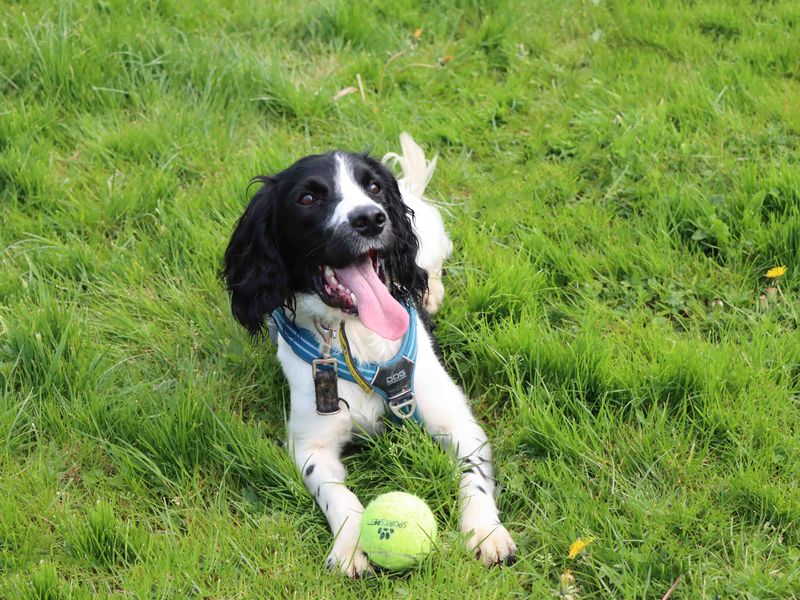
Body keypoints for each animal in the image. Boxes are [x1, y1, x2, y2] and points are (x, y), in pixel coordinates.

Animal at [222, 132, 516, 576]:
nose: (370, 218)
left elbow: (474, 477)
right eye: (308, 197)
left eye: (373, 187)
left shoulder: (458, 422)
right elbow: (338, 495)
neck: (357, 339)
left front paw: (485, 532)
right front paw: (350, 547)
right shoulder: (309, 445)